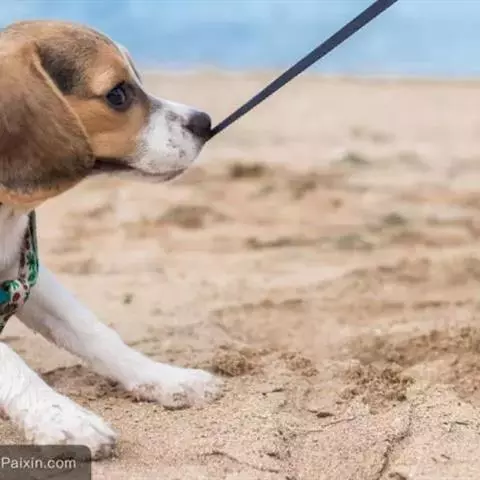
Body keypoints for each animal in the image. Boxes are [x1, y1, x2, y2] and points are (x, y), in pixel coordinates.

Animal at [0, 20, 222, 459]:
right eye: (118, 94)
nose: (204, 121)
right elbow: (11, 365)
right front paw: (62, 418)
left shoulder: (27, 272)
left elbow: (92, 331)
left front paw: (164, 378)